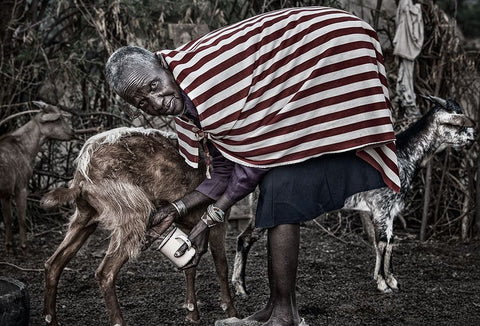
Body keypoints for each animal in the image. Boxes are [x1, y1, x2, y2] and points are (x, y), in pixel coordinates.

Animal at [0, 101, 74, 250]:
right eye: (58, 119)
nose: (72, 133)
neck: (26, 147)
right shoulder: (21, 184)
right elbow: (21, 217)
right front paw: (23, 245)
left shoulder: (5, 191)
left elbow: (8, 219)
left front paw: (9, 244)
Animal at [39, 127, 238, 326]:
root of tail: (82, 174)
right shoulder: (218, 223)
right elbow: (221, 265)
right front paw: (231, 312)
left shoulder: (188, 227)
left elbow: (189, 267)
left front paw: (192, 314)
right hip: (130, 211)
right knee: (105, 272)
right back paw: (119, 321)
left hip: (85, 216)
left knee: (53, 264)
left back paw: (51, 319)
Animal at [232, 95, 476, 296]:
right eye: (454, 122)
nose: (472, 138)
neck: (403, 155)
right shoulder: (381, 206)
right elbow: (382, 243)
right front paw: (383, 285)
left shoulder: (390, 211)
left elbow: (390, 242)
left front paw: (392, 280)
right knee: (244, 238)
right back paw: (241, 288)